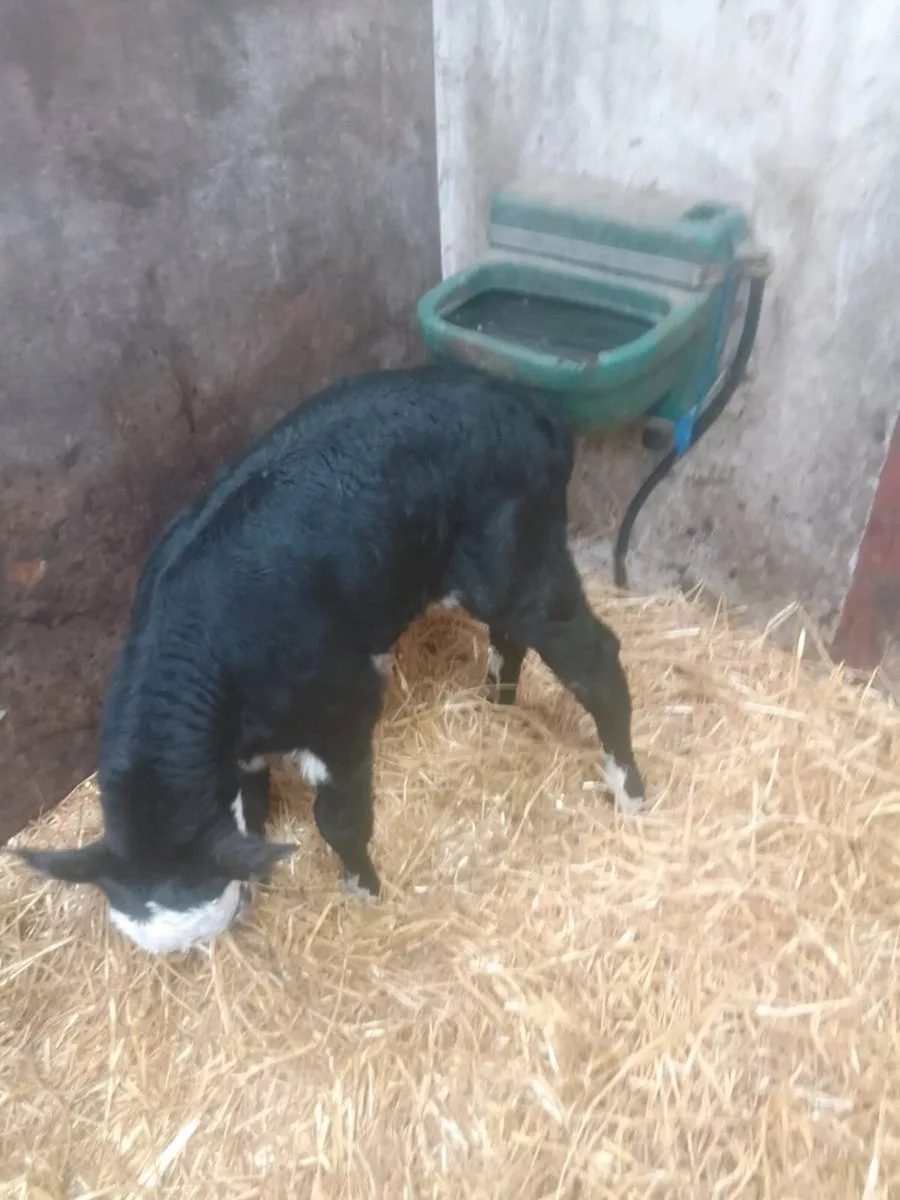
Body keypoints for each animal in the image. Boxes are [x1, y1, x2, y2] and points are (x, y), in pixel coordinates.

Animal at [13, 363, 645, 954]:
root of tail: (530, 405)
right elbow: (250, 813)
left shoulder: (343, 710)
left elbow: (338, 820)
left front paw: (364, 890)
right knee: (510, 636)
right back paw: (498, 700)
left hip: (521, 563)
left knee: (595, 662)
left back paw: (629, 790)